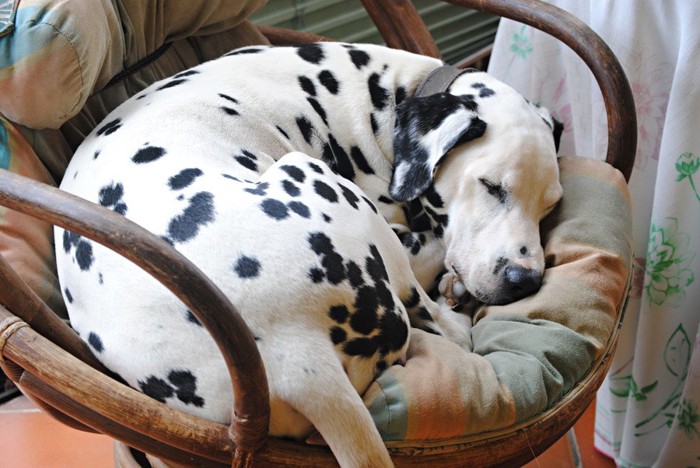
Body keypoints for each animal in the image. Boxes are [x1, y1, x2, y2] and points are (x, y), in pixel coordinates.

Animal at [54, 42, 564, 466]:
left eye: (550, 205)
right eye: (491, 185)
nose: (524, 280)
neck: (383, 94)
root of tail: (294, 355)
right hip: (317, 177)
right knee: (445, 326)